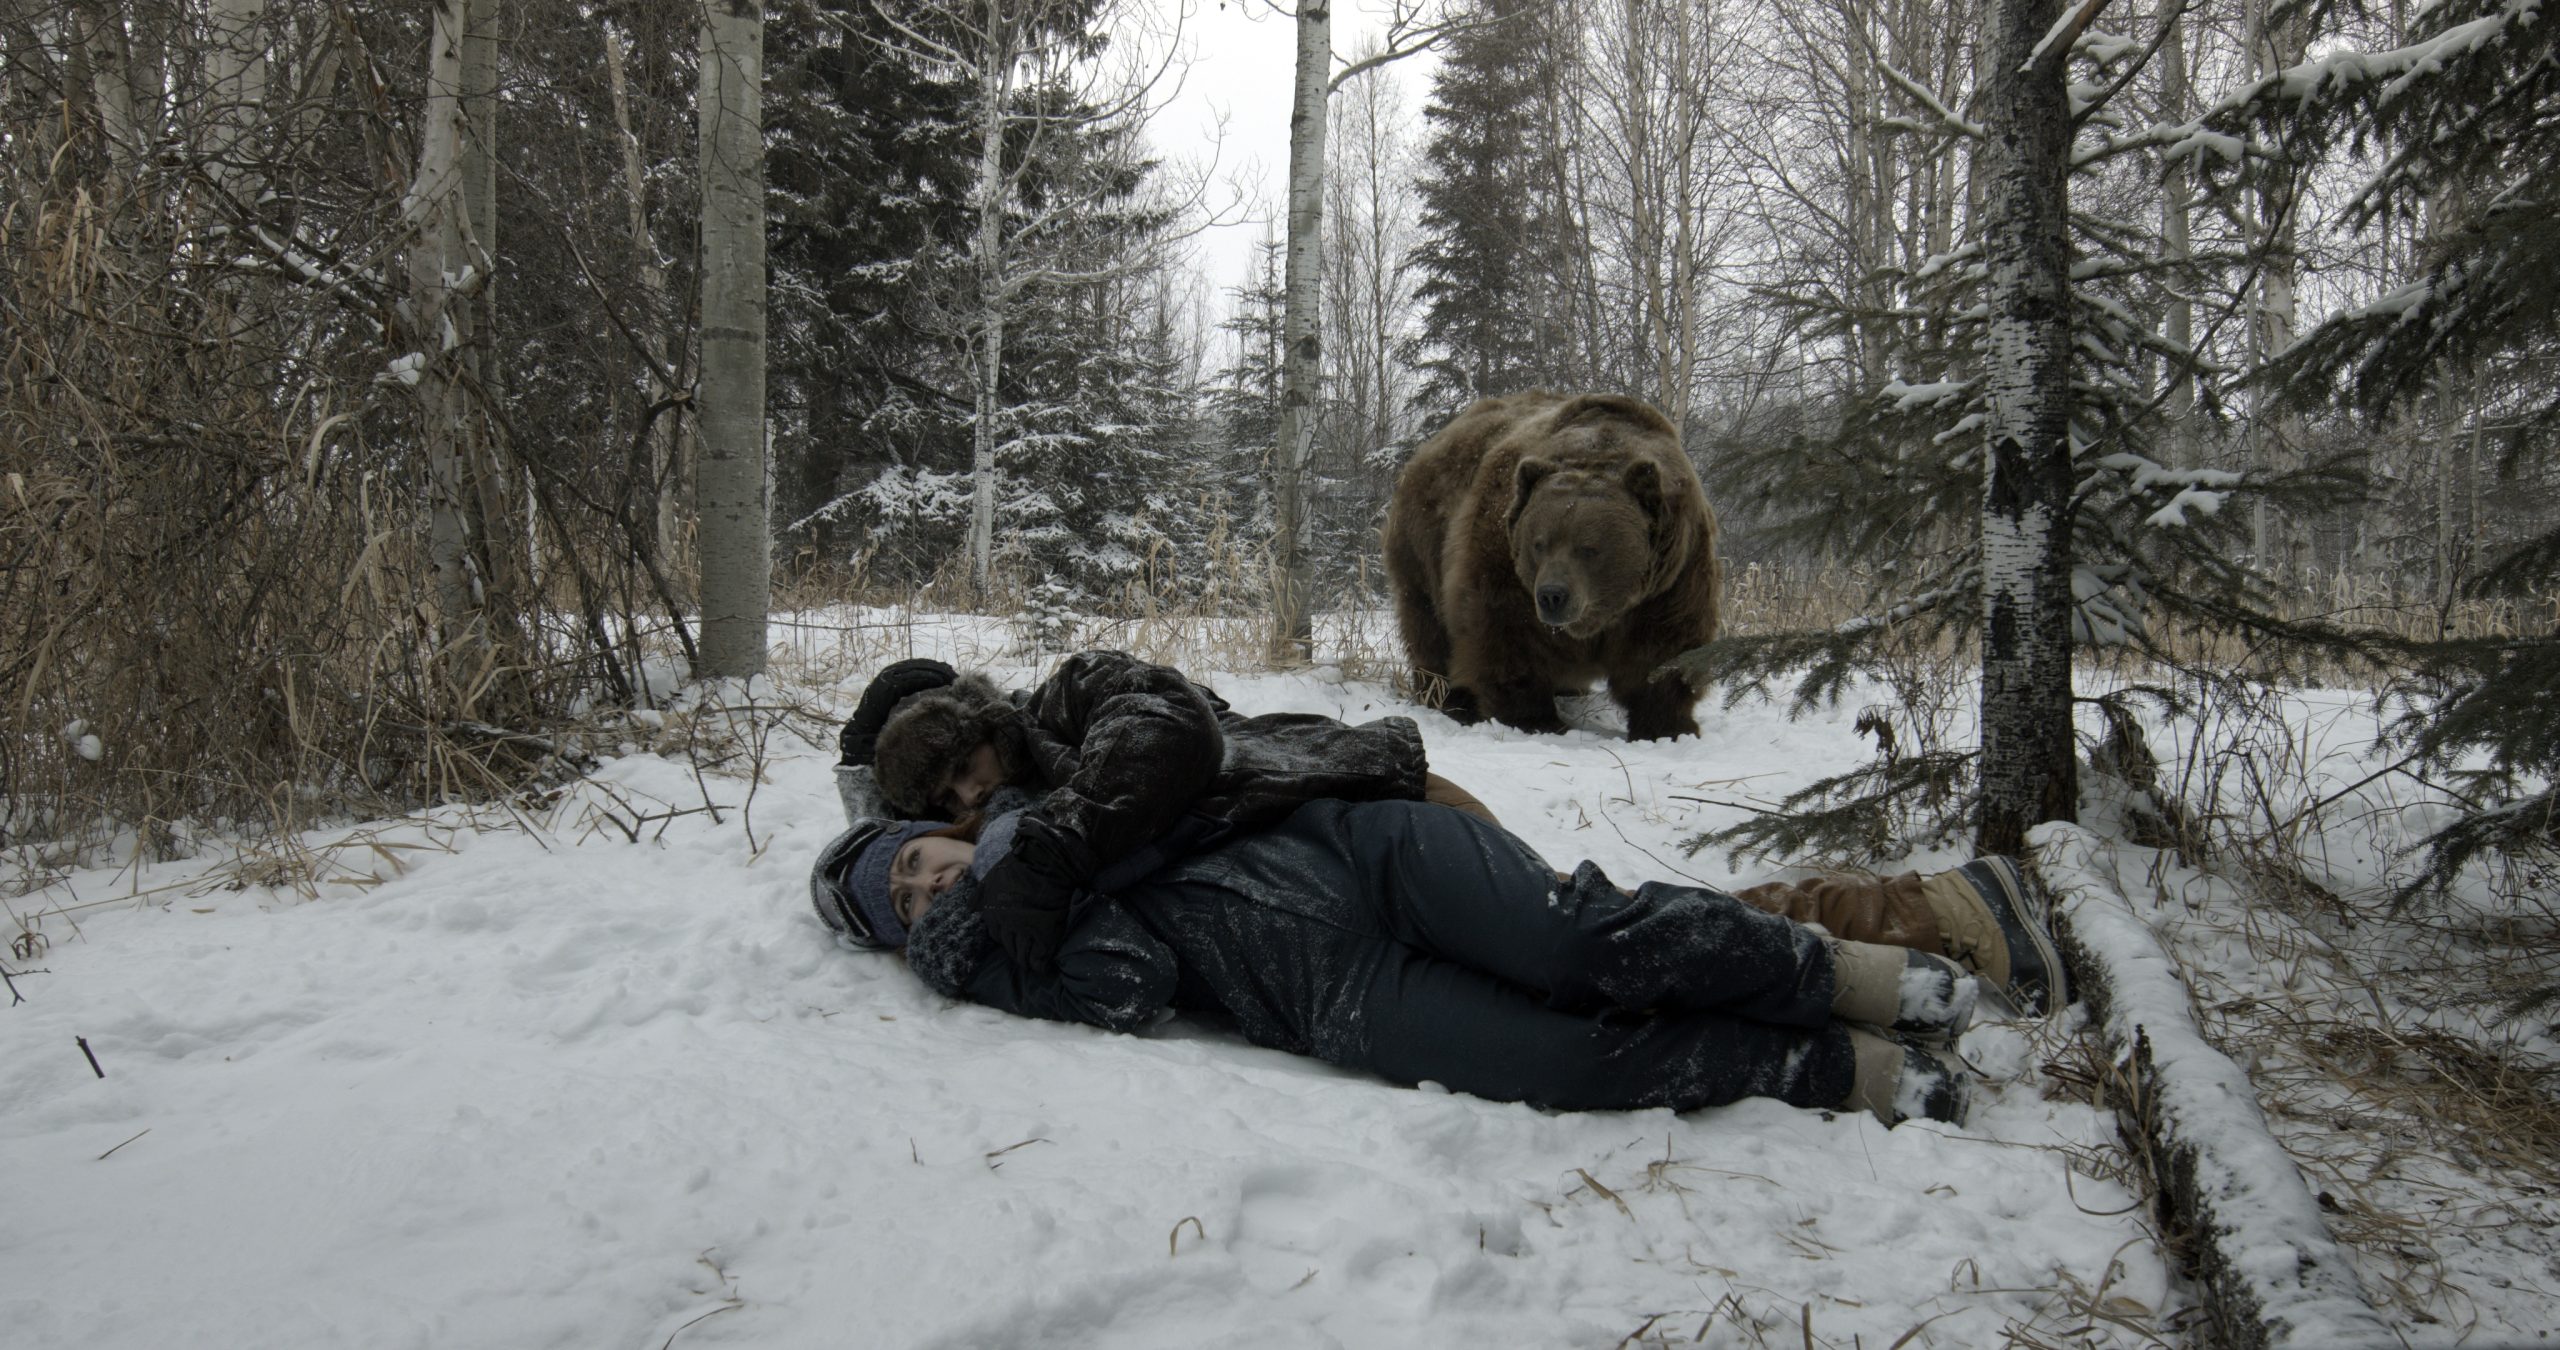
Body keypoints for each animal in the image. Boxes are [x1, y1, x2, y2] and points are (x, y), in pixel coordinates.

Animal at [1382, 394, 1720, 737]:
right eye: (1539, 543)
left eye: (1589, 548)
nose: (1552, 595)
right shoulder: (1504, 562)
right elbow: (1507, 637)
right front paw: (1535, 718)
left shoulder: (1672, 576)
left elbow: (1665, 649)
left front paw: (1669, 725)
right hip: (1423, 544)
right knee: (1428, 625)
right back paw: (1447, 697)